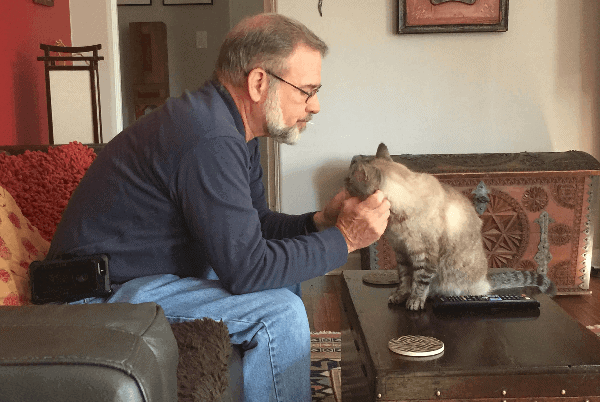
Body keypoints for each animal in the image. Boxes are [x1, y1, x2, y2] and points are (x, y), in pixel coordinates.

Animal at [346, 142, 556, 310]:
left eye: (348, 180)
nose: (343, 185)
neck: (397, 221)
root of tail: (485, 280)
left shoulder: (424, 254)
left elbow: (420, 281)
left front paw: (414, 301)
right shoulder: (401, 252)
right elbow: (404, 279)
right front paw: (400, 296)